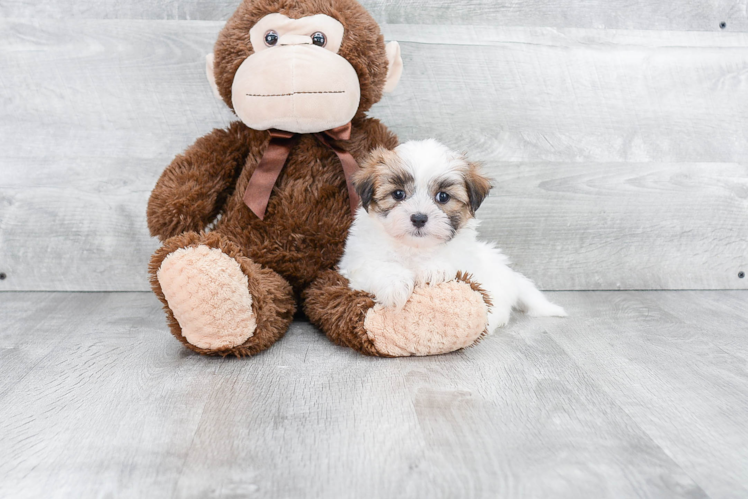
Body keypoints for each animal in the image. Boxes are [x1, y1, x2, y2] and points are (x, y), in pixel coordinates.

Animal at [336, 139, 564, 334]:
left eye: (443, 197)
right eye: (398, 194)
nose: (419, 218)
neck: (414, 247)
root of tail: (510, 275)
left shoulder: (465, 261)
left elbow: (450, 263)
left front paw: (433, 269)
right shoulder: (356, 262)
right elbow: (380, 266)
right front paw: (395, 286)